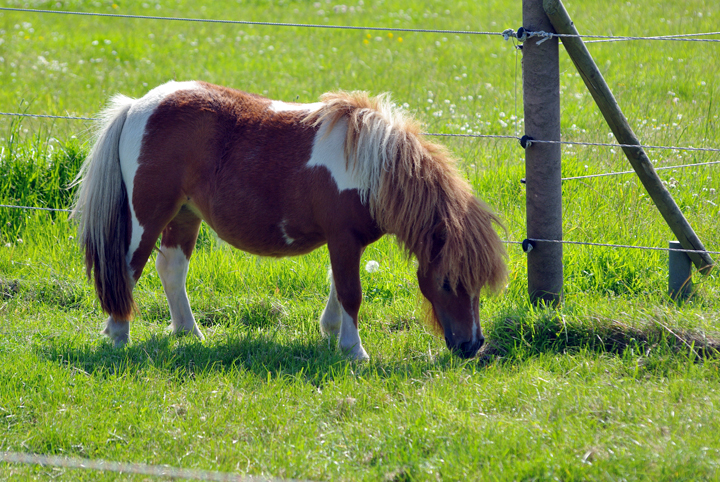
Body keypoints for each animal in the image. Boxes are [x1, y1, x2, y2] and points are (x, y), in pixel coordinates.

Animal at [72, 80, 507, 360]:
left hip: (184, 215)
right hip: (148, 215)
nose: (472, 346)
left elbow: (338, 286)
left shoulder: (346, 242)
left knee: (172, 270)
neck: (371, 167)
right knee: (126, 269)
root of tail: (137, 105)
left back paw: (189, 333)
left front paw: (331, 333)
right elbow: (351, 292)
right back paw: (119, 334)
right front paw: (354, 351)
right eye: (448, 282)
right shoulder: (343, 237)